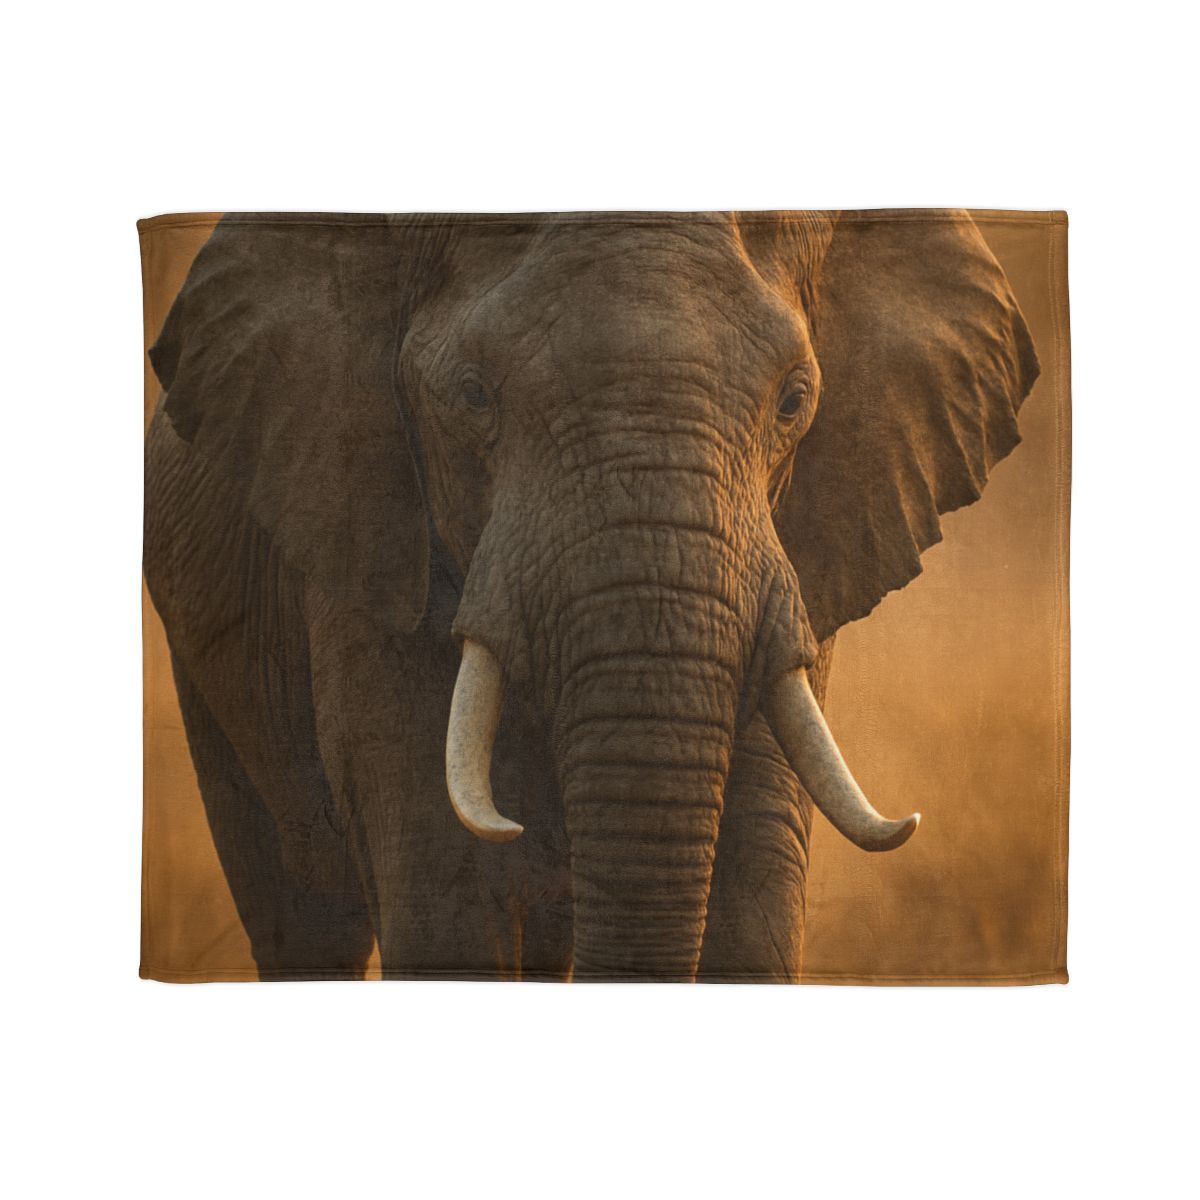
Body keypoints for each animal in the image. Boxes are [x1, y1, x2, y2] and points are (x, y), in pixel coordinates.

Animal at [143, 210, 1038, 982]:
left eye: (794, 401)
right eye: (472, 394)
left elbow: (757, 872)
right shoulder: (363, 531)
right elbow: (444, 879)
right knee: (302, 912)